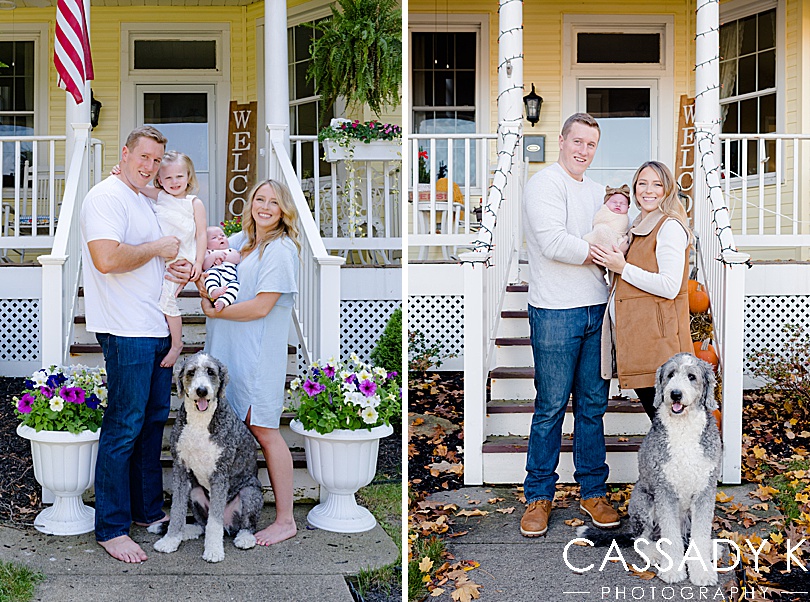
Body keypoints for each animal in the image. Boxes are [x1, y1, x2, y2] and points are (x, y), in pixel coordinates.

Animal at [152, 352, 262, 564]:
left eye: (211, 372)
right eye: (191, 372)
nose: (201, 391)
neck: (200, 421)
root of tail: (230, 526)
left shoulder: (220, 473)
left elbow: (214, 522)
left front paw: (213, 551)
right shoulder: (180, 470)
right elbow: (177, 511)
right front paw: (170, 540)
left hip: (250, 492)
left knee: (246, 525)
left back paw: (245, 538)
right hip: (194, 491)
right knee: (201, 524)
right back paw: (186, 531)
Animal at [576, 354, 724, 584]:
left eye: (692, 376)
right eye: (670, 374)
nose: (675, 394)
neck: (683, 427)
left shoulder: (705, 491)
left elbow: (700, 533)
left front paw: (701, 571)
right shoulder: (665, 491)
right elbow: (671, 536)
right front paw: (673, 570)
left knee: (688, 537)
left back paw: (710, 549)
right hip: (643, 501)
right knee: (642, 539)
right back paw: (655, 553)